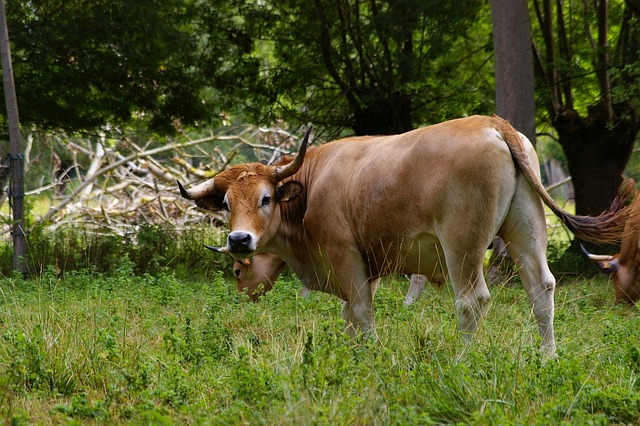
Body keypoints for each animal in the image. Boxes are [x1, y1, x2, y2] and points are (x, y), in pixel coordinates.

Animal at [180, 115, 633, 357]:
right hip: (527, 229)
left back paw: (461, 360)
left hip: (462, 245)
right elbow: (350, 316)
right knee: (542, 289)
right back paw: (547, 357)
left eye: (266, 197)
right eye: (226, 204)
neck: (312, 183)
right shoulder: (368, 267)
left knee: (472, 300)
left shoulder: (346, 258)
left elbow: (362, 313)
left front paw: (370, 355)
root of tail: (491, 122)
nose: (239, 241)